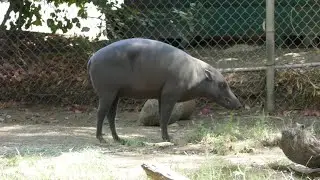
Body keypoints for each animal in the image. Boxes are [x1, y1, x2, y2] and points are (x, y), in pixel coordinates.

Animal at [87, 38, 242, 143]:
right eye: (222, 85)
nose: (239, 105)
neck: (195, 75)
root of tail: (92, 58)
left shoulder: (161, 96)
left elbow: (162, 117)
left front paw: (164, 137)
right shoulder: (169, 95)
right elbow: (165, 117)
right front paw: (168, 138)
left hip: (116, 95)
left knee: (111, 116)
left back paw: (118, 139)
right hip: (107, 93)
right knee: (100, 113)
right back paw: (101, 138)